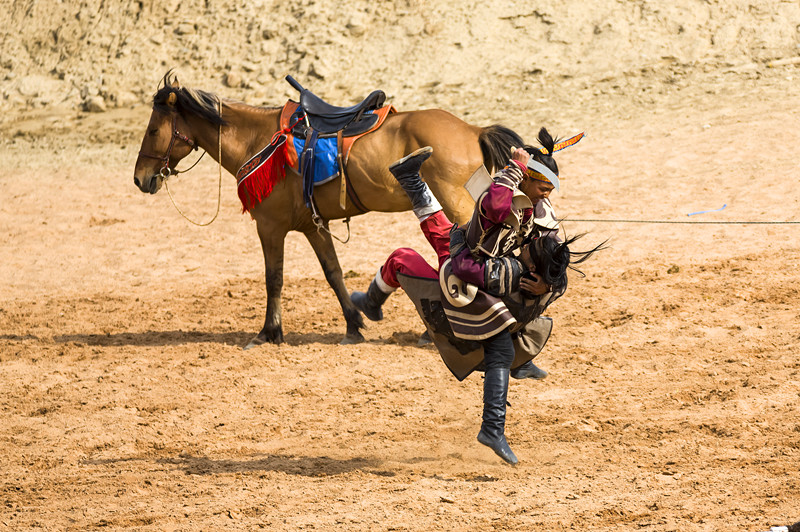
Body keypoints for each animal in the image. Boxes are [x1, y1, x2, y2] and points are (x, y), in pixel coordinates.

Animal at [134, 72, 524, 350]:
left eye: (152, 129)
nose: (141, 178)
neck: (257, 141)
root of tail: (473, 129)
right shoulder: (313, 227)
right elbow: (333, 273)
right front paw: (353, 325)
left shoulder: (270, 227)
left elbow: (273, 278)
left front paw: (268, 332)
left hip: (457, 204)